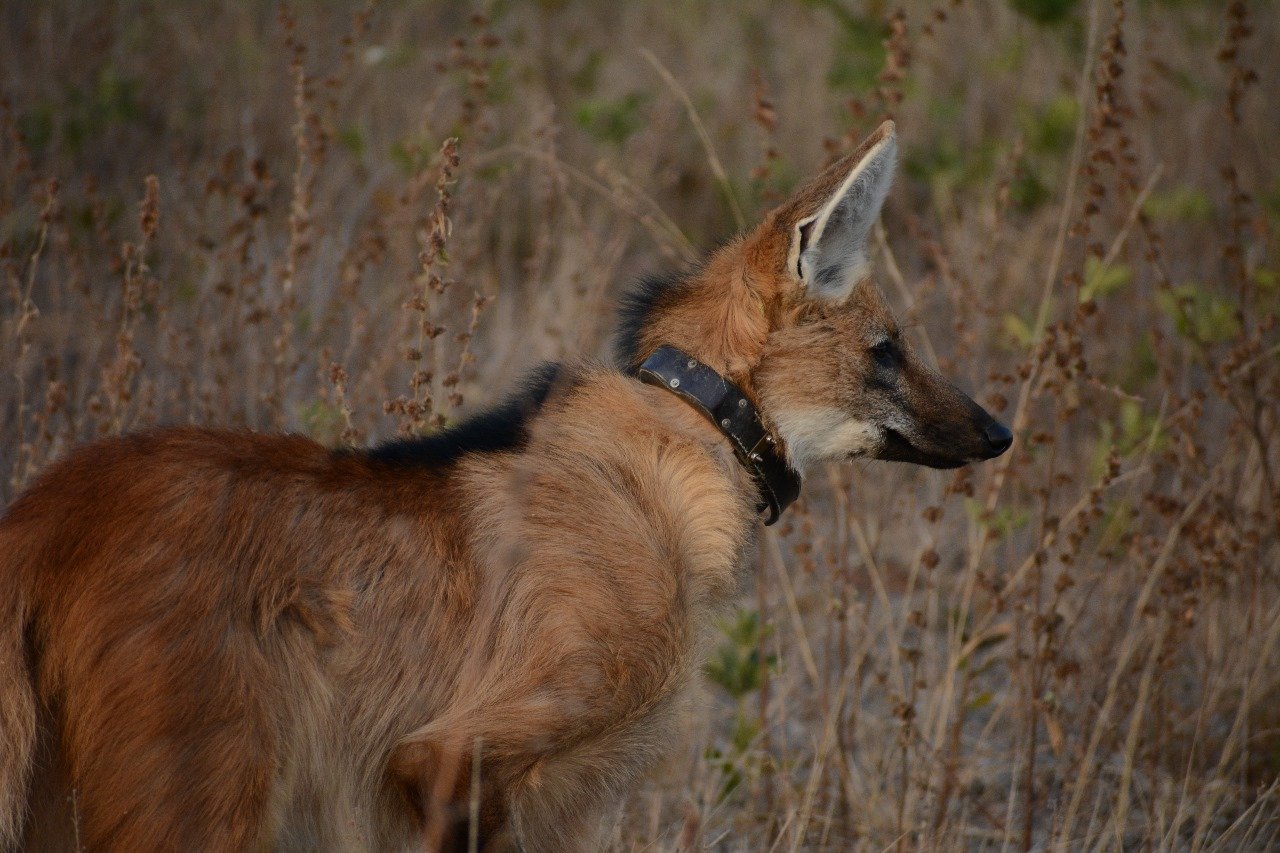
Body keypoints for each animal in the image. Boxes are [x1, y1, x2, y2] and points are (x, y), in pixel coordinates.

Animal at [2, 121, 1008, 850]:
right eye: (888, 351)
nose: (999, 432)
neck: (673, 451)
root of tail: (48, 506)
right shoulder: (450, 756)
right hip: (205, 798)